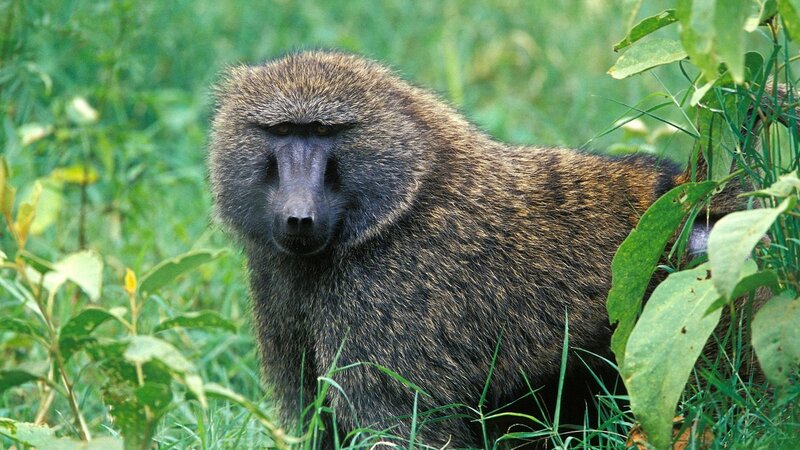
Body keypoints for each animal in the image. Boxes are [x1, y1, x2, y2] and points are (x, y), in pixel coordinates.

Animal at [208, 51, 741, 448]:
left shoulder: (386, 302)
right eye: (281, 131)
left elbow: (404, 428)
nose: (299, 217)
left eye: (322, 132)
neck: (404, 197)